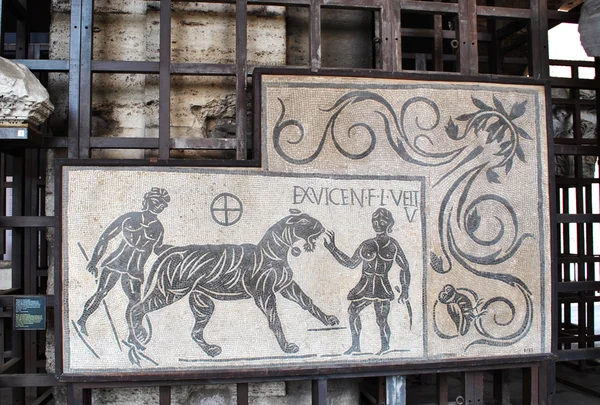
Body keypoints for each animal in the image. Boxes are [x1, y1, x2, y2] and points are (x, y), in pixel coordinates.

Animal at [127, 210, 340, 356]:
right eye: (305, 222)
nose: (321, 226)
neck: (277, 251)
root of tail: (173, 251)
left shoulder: (286, 287)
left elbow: (308, 302)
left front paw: (328, 319)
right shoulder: (265, 295)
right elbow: (275, 320)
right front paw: (286, 347)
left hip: (203, 304)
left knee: (195, 333)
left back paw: (210, 350)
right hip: (170, 293)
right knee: (136, 309)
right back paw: (137, 340)